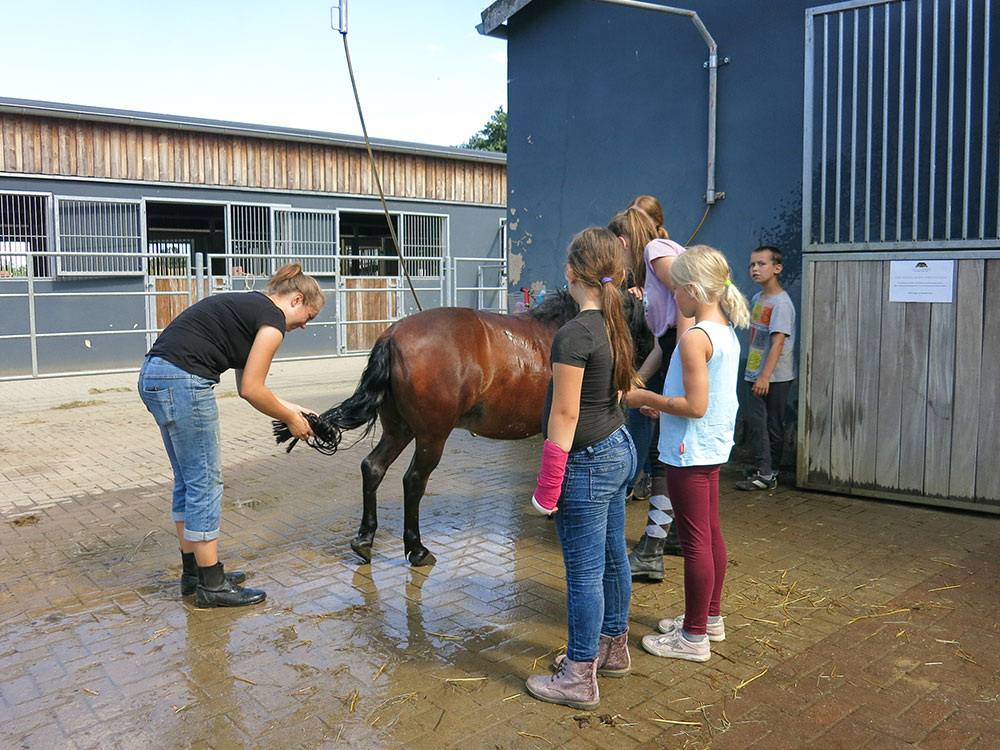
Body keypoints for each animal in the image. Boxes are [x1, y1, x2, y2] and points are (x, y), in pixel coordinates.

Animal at [276, 290, 648, 568]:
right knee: (413, 481)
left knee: (373, 467)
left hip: (399, 429)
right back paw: (417, 549)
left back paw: (365, 539)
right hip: (432, 435)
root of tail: (392, 336)